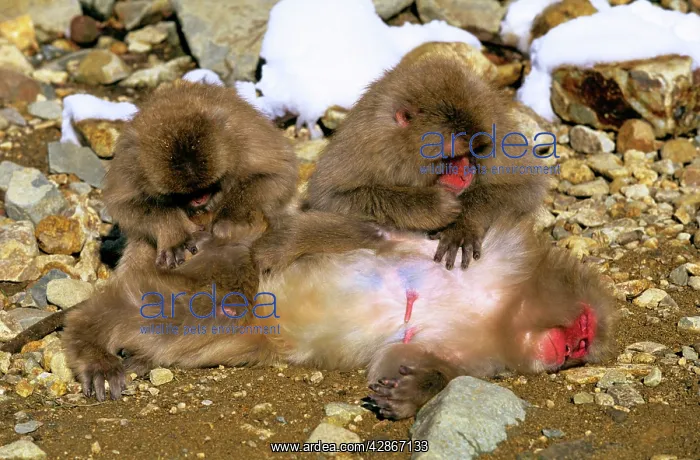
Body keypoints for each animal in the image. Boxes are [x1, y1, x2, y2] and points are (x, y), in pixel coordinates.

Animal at [62, 214, 614, 420]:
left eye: (582, 346)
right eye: (583, 332)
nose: (570, 352)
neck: (500, 306)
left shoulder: (479, 352)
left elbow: (407, 357)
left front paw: (409, 391)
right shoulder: (500, 253)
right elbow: (376, 236)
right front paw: (280, 245)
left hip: (248, 332)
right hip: (217, 276)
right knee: (176, 306)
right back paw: (92, 341)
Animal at [104, 80, 299, 270]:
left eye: (207, 186)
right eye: (182, 194)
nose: (199, 199)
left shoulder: (242, 135)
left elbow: (278, 174)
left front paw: (227, 221)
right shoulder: (130, 162)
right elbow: (125, 205)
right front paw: (175, 235)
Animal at [303, 52, 550, 270]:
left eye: (475, 150)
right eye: (452, 155)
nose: (465, 175)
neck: (406, 150)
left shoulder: (497, 129)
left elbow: (525, 187)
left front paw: (462, 225)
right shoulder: (367, 144)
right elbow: (330, 198)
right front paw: (433, 206)